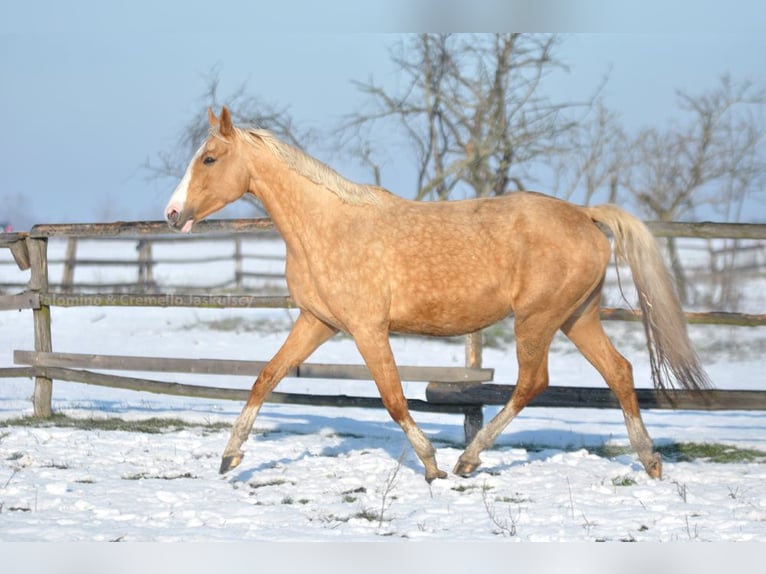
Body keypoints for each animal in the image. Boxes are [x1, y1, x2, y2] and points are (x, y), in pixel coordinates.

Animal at [165, 106, 711, 483]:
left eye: (209, 158)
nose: (171, 214)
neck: (326, 226)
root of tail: (585, 214)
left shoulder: (367, 329)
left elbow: (394, 400)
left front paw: (431, 465)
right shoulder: (317, 322)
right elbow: (265, 377)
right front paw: (229, 457)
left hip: (537, 319)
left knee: (532, 382)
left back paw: (468, 460)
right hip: (578, 317)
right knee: (619, 371)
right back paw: (650, 461)